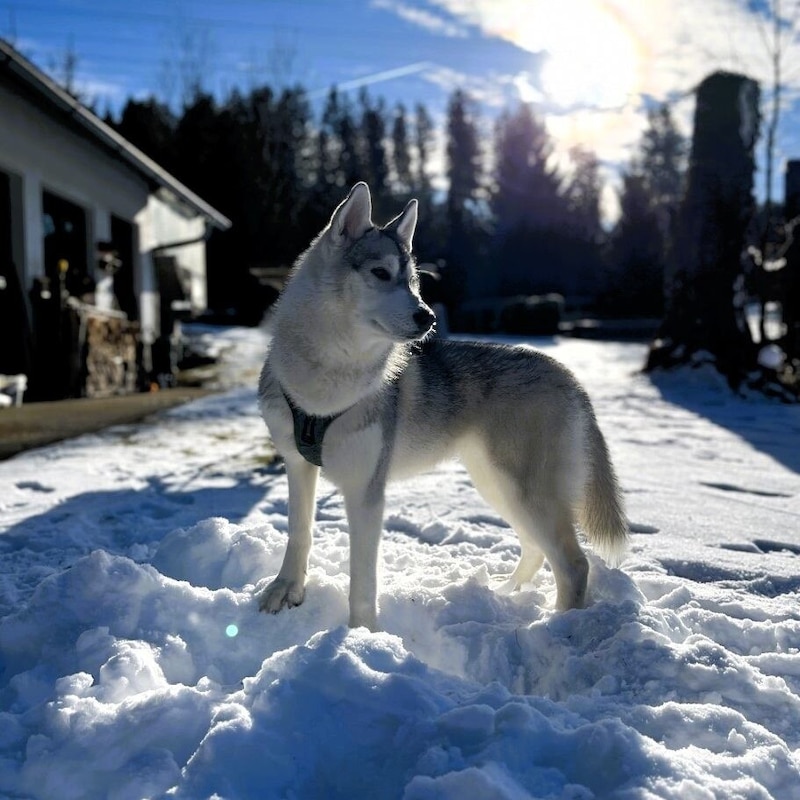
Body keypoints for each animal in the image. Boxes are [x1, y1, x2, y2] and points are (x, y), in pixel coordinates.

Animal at [256, 183, 624, 632]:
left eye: (414, 282)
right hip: (498, 486)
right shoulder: (297, 465)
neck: (325, 383)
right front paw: (287, 590)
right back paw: (505, 591)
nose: (428, 317)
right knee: (537, 550)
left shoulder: (366, 492)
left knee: (574, 565)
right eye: (381, 273)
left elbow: (362, 581)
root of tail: (567, 375)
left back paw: (559, 628)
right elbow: (299, 533)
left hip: (524, 492)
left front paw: (362, 636)